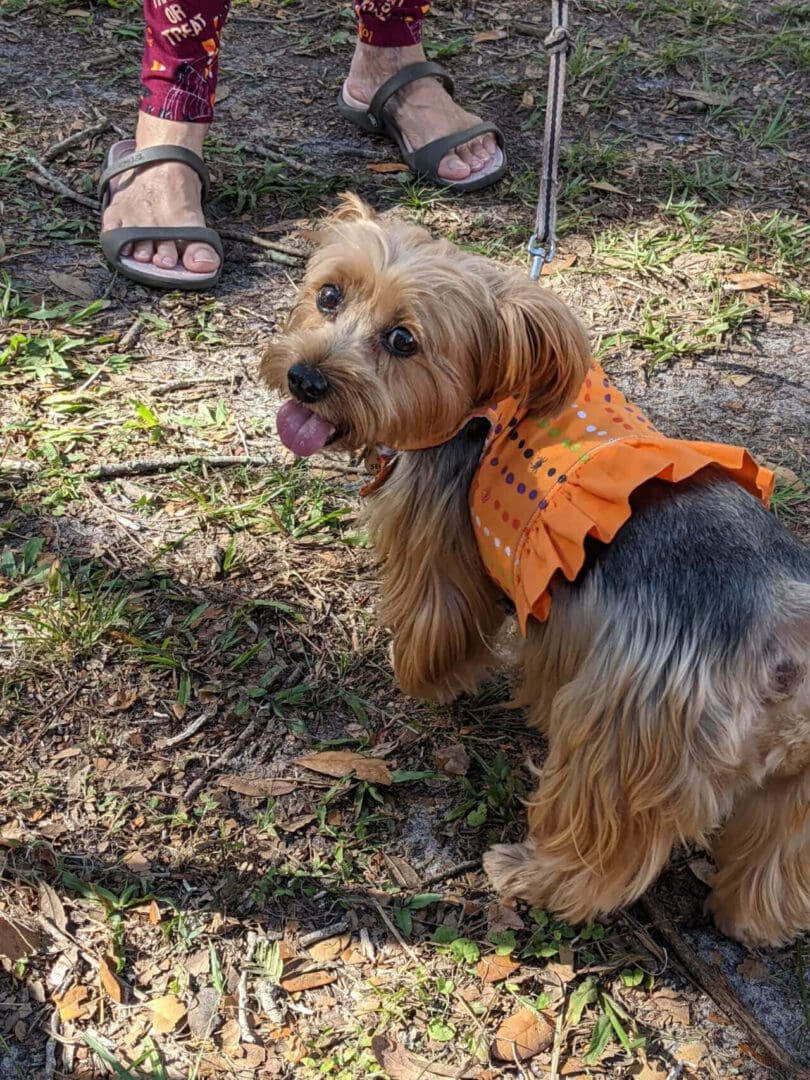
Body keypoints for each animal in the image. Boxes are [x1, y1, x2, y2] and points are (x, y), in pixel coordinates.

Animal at [261, 192, 810, 946]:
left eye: (404, 341)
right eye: (328, 296)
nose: (305, 379)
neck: (492, 390)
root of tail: (784, 641)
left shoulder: (439, 543)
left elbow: (437, 620)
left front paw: (422, 679)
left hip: (622, 732)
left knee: (600, 849)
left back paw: (528, 873)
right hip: (795, 785)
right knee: (777, 854)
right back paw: (755, 921)